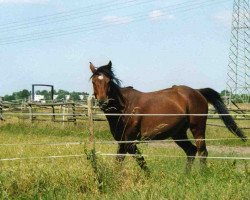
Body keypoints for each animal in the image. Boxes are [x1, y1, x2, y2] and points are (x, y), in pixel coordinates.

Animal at [88, 60, 246, 170]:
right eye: (94, 82)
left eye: (109, 81)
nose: (102, 102)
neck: (124, 108)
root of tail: (198, 91)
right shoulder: (122, 143)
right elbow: (119, 163)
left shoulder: (130, 142)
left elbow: (141, 162)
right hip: (178, 133)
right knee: (191, 151)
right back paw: (185, 177)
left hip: (198, 128)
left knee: (202, 152)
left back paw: (202, 176)